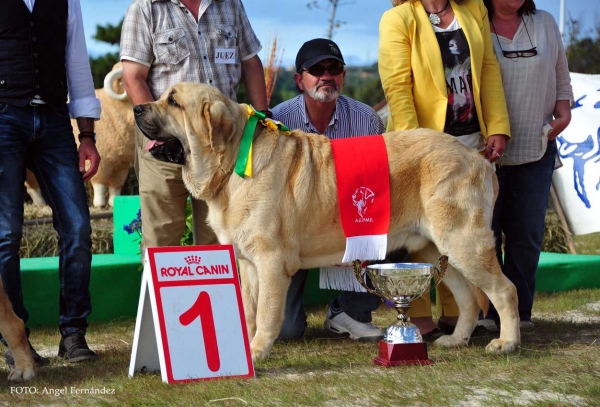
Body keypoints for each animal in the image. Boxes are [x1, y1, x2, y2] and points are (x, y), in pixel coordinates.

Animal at [134, 81, 516, 362]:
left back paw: (506, 342)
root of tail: (477, 157)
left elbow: (267, 314)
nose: (136, 108)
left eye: (173, 102)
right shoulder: (248, 264)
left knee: (503, 290)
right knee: (467, 297)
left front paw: (256, 351)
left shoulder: (270, 262)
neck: (231, 162)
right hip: (433, 250)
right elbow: (250, 310)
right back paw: (456, 339)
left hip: (463, 241)